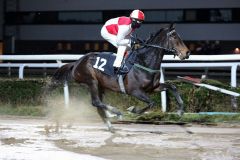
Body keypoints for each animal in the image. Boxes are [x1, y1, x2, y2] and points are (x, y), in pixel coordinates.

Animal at [49, 23, 190, 131]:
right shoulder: (134, 91)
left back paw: (110, 125)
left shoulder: (153, 88)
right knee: (96, 102)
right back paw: (116, 112)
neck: (143, 61)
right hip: (91, 81)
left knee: (98, 105)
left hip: (100, 86)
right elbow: (151, 103)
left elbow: (173, 87)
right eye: (174, 36)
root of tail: (77, 62)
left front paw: (180, 110)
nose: (187, 53)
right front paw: (132, 109)